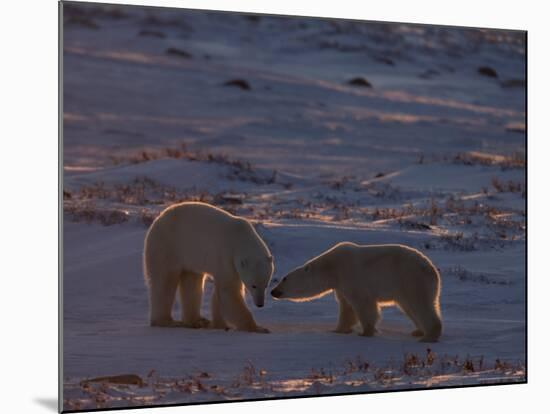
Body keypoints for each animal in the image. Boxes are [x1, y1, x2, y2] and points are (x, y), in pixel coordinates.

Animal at [143, 201, 274, 334]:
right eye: (253, 285)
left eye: (266, 285)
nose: (260, 304)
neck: (240, 237)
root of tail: (157, 220)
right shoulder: (225, 256)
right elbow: (229, 291)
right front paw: (258, 328)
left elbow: (220, 294)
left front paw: (220, 324)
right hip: (167, 246)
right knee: (164, 281)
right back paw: (168, 322)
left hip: (190, 256)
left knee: (192, 281)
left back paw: (197, 321)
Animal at [272, 241, 444, 342]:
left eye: (284, 278)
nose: (273, 291)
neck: (331, 267)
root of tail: (432, 270)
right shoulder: (341, 284)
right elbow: (346, 307)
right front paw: (338, 330)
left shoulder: (351, 275)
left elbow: (363, 304)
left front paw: (366, 332)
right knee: (410, 308)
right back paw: (418, 331)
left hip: (411, 278)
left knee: (421, 305)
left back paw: (429, 336)